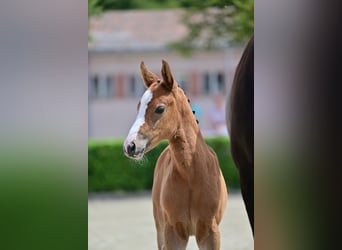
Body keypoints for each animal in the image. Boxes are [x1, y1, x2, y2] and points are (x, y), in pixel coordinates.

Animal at [123, 59, 227, 249]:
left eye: (160, 108)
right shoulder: (173, 231)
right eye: (138, 107)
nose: (130, 146)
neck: (191, 174)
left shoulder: (210, 231)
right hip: (160, 228)